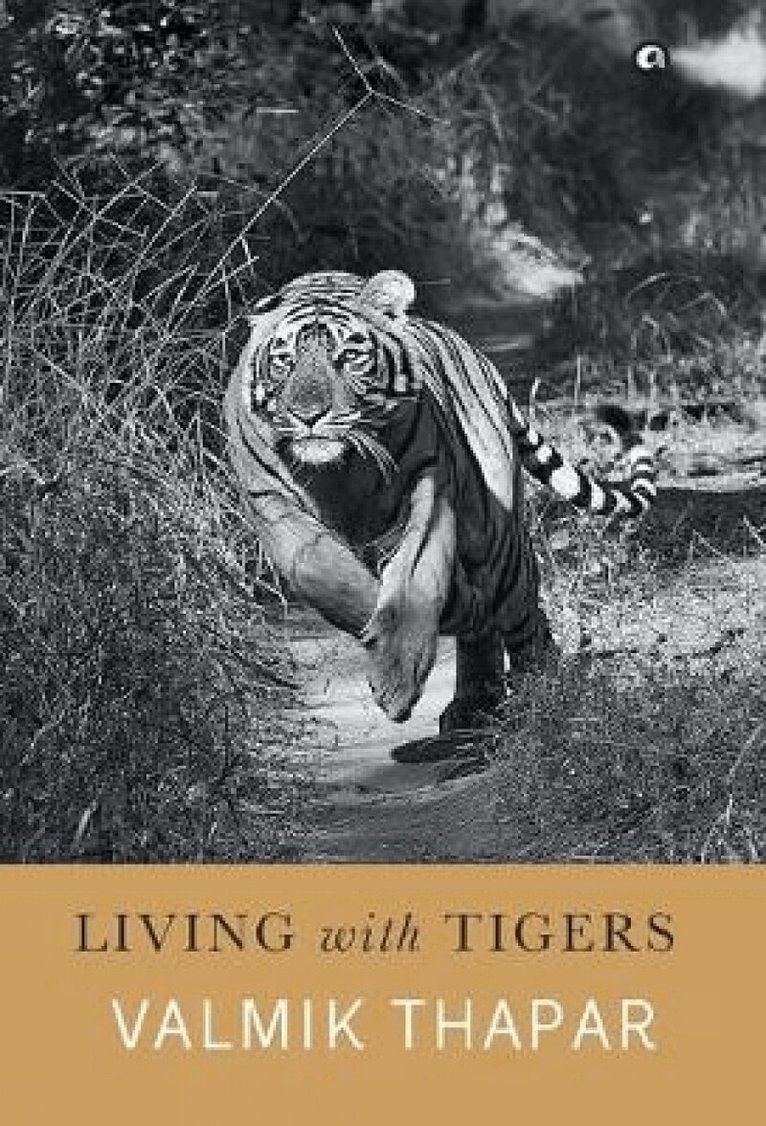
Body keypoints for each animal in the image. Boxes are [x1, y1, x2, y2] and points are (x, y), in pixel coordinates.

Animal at [225, 269, 655, 732]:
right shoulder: (268, 500)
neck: (339, 472)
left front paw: (397, 678)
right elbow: (321, 572)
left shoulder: (429, 484)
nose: (308, 416)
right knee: (487, 622)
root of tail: (482, 361)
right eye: (284, 361)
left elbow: (417, 575)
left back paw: (540, 696)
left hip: (493, 540)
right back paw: (477, 695)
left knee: (523, 615)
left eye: (349, 357)